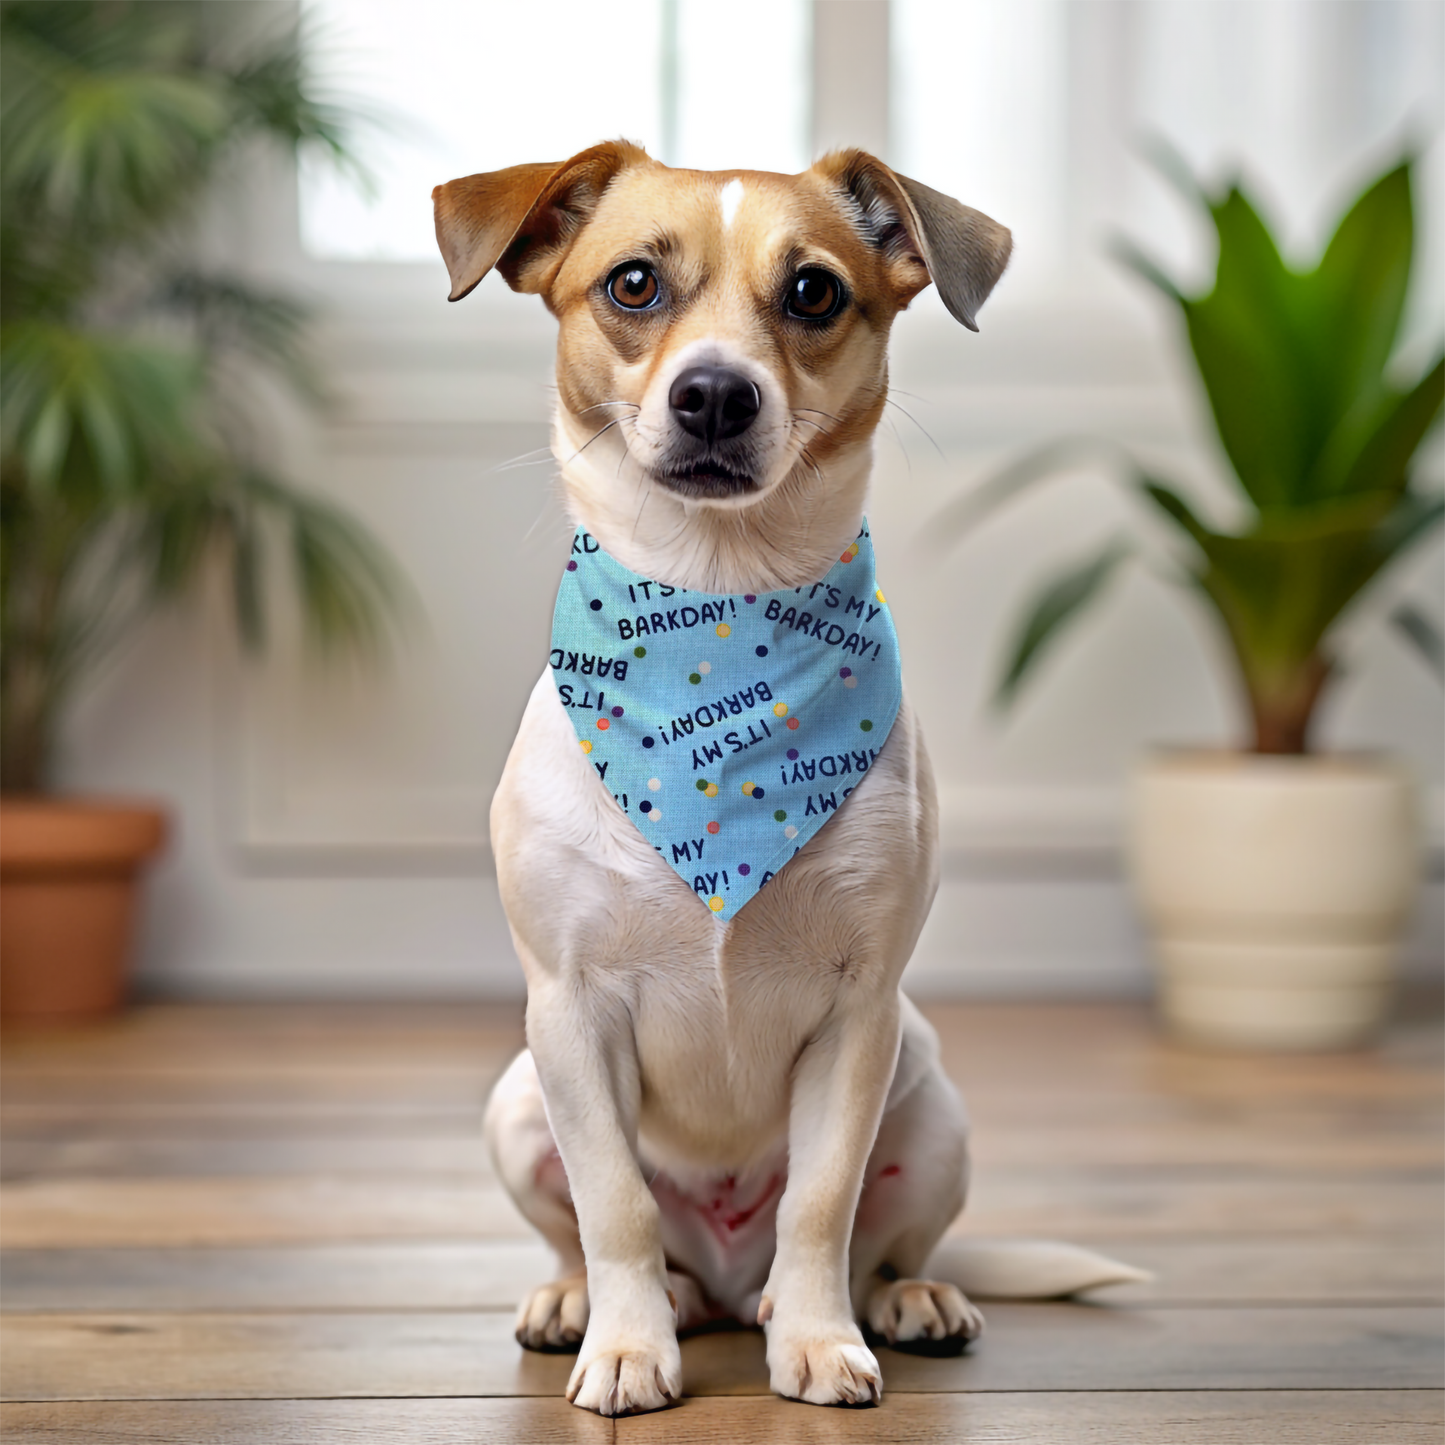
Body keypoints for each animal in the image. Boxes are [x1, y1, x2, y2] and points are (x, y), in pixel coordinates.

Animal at [433, 143, 1086, 1410]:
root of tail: (729, 1282)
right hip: (517, 1102)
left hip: (932, 1104)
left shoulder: (858, 1013)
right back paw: (597, 1300)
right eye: (633, 283)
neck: (716, 612)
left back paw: (887, 1299)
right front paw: (626, 1342)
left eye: (814, 292)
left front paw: (823, 1342)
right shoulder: (570, 1014)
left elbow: (822, 1202)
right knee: (602, 1236)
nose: (715, 394)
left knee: (870, 1240)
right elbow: (615, 1205)